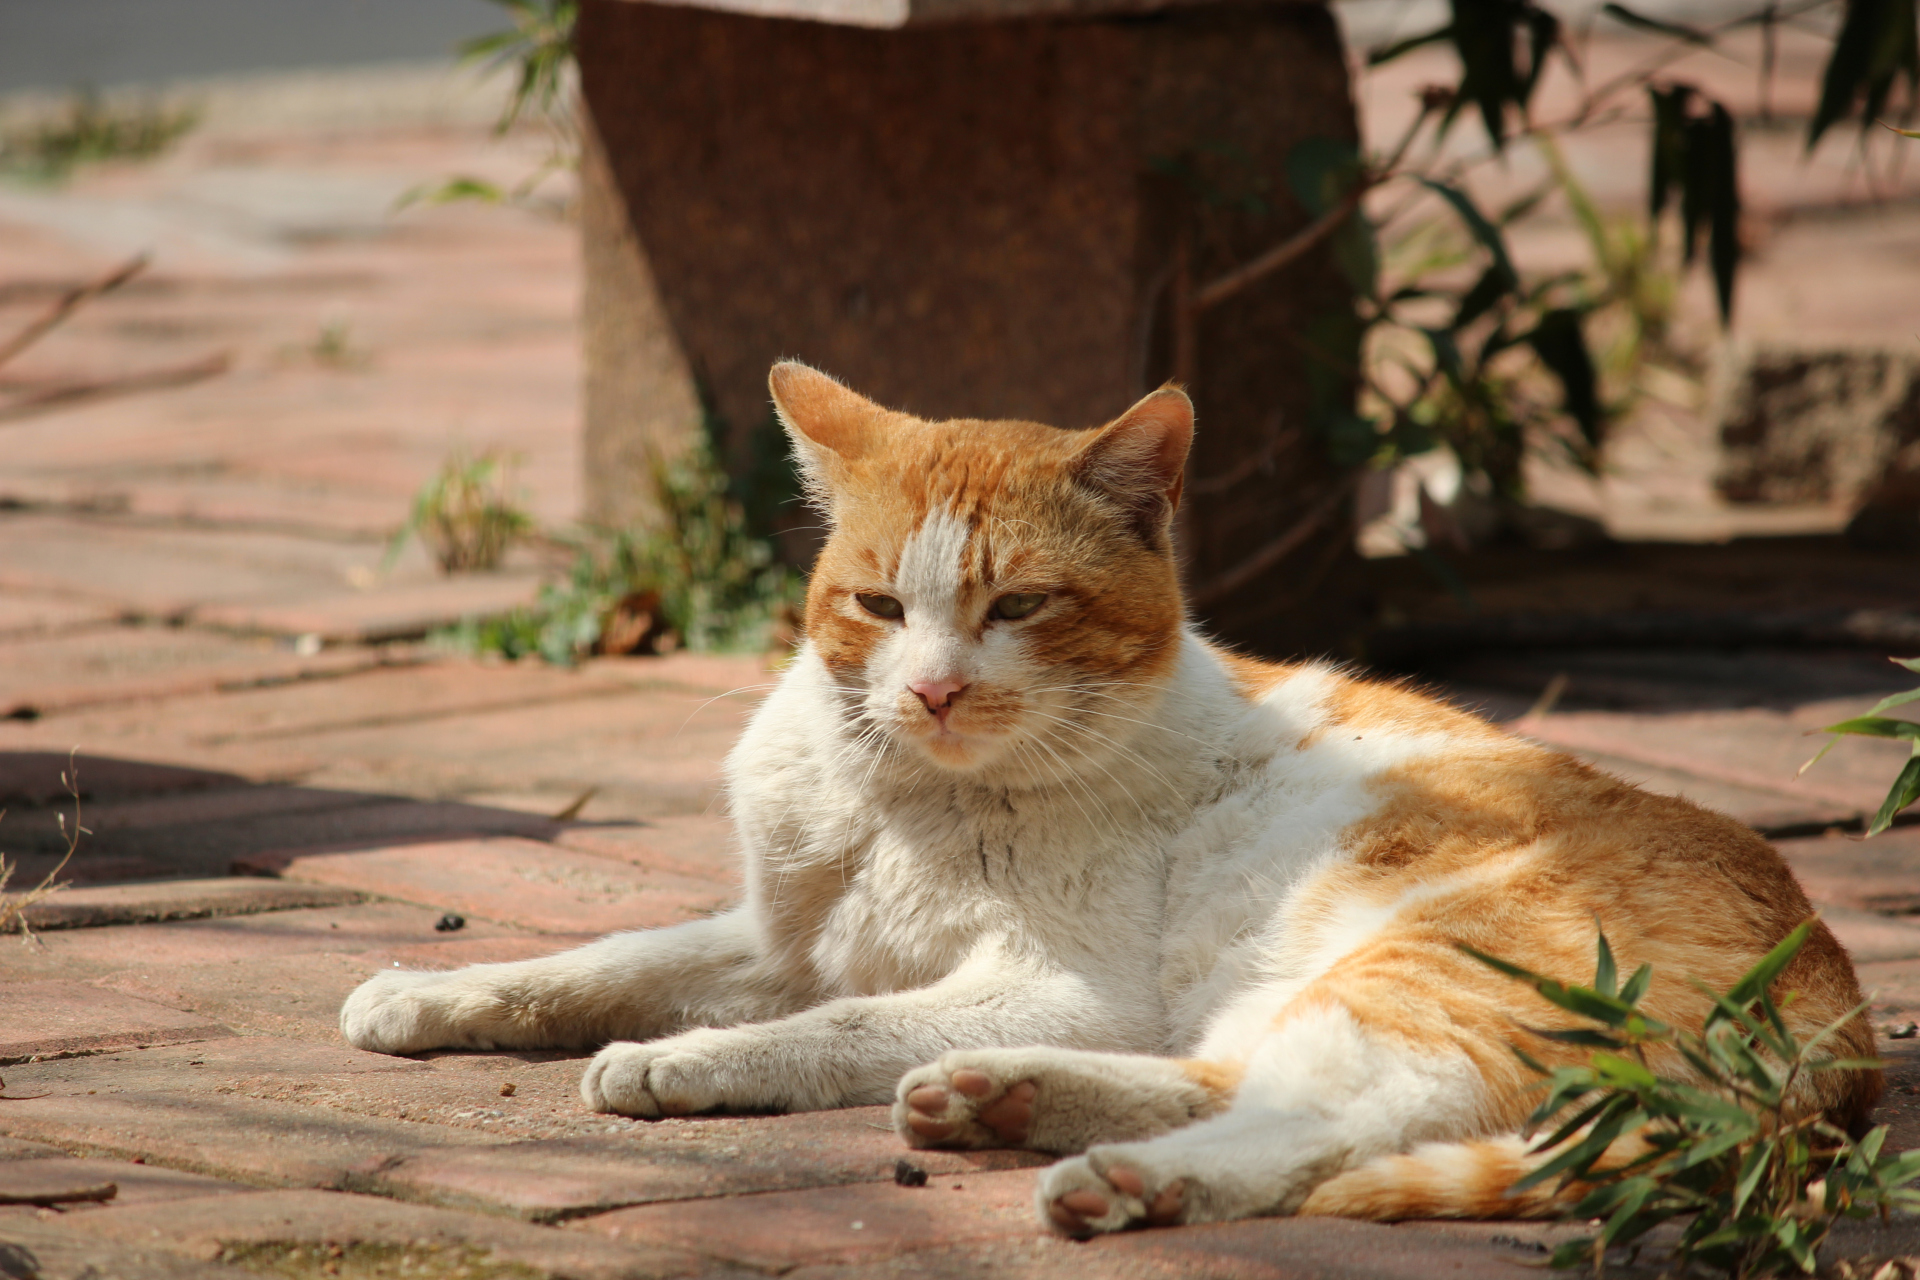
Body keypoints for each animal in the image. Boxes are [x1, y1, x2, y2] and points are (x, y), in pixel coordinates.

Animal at [341, 360, 1873, 1228]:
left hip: (1415, 975)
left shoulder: (1056, 982)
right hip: (1299, 999)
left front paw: (682, 1064)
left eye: (1018, 606)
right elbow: (605, 961)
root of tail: (1836, 1013)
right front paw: (429, 996)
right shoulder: (780, 938)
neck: (906, 799)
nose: (933, 688)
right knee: (1230, 1076)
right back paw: (997, 1101)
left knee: (1329, 1127)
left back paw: (1120, 1181)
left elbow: (830, 1028)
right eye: (879, 605)